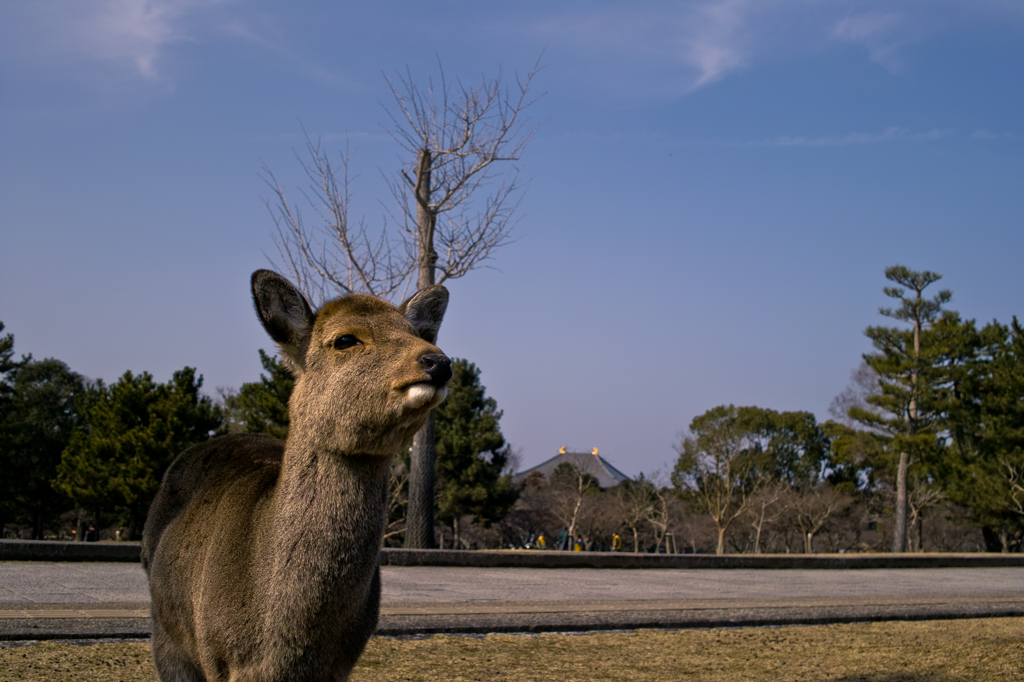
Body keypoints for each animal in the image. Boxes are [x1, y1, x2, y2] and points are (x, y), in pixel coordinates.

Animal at [141, 268, 452, 675]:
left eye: (416, 332)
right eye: (344, 339)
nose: (438, 362)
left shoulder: (341, 664)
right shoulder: (215, 655)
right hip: (166, 634)